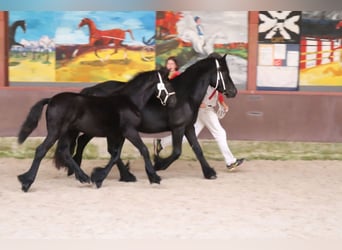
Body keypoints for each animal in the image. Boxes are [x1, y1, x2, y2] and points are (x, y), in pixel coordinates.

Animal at [16, 68, 176, 191]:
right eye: (168, 83)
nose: (173, 102)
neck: (129, 101)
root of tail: (50, 100)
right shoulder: (129, 131)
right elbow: (143, 149)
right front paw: (154, 177)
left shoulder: (118, 134)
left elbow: (115, 155)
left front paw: (99, 177)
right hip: (56, 131)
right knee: (41, 150)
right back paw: (26, 182)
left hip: (68, 132)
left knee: (65, 151)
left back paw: (83, 177)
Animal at [66, 52, 238, 187]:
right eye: (224, 72)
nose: (233, 92)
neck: (184, 95)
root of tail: (90, 90)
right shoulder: (178, 127)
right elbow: (177, 152)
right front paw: (158, 166)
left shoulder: (189, 127)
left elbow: (197, 149)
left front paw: (209, 172)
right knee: (98, 146)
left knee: (86, 142)